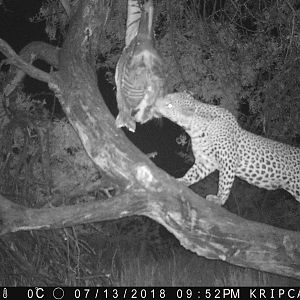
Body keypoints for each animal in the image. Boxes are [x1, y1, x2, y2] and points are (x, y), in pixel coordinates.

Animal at [154, 91, 300, 204]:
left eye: (169, 105)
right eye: (167, 96)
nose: (155, 102)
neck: (195, 130)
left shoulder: (228, 160)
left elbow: (225, 183)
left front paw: (219, 200)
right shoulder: (206, 161)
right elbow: (192, 173)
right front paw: (181, 180)